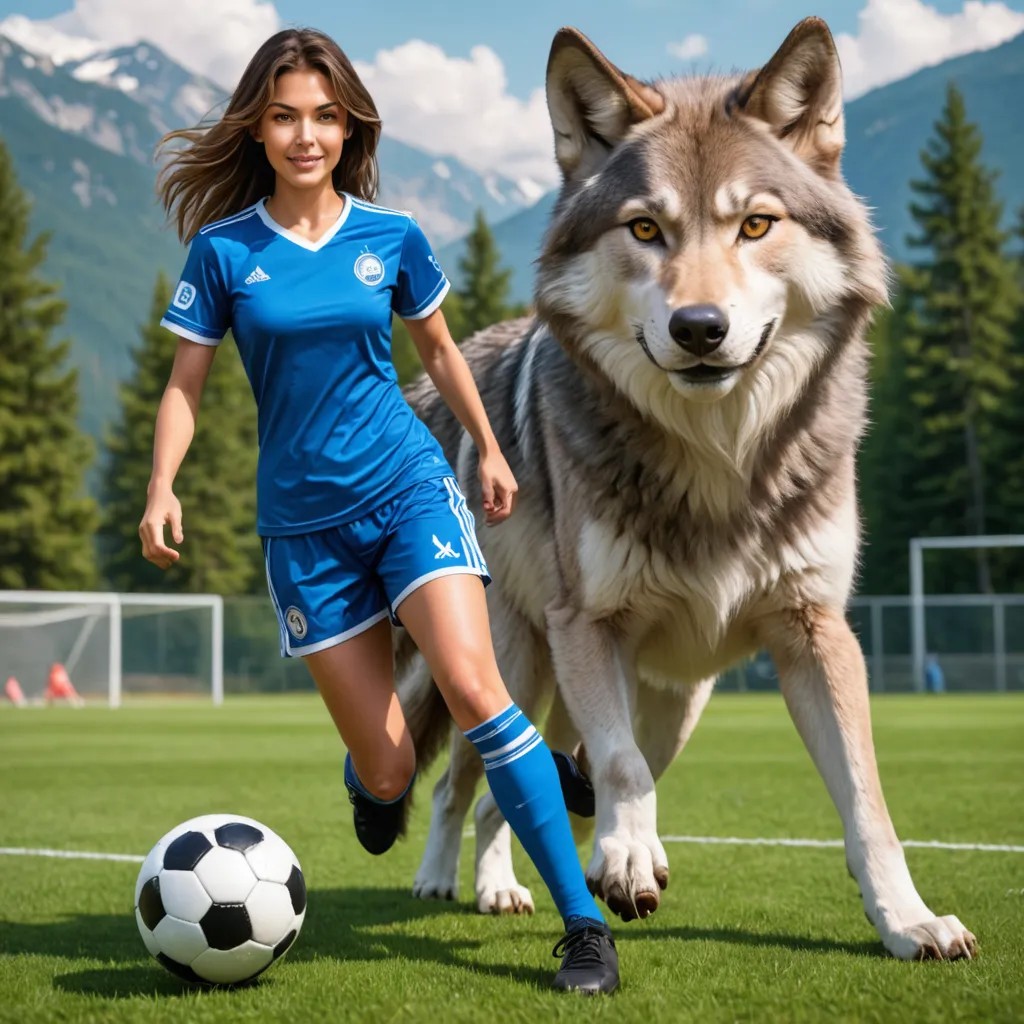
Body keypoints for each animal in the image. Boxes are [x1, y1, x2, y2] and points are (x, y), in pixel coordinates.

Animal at [396, 17, 976, 960]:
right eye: (644, 228)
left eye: (756, 224)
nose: (699, 328)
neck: (717, 461)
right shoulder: (587, 625)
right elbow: (619, 769)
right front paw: (630, 861)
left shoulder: (815, 631)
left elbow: (867, 805)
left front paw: (908, 920)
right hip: (514, 670)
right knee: (466, 784)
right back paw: (455, 880)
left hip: (674, 704)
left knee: (537, 790)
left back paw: (520, 885)